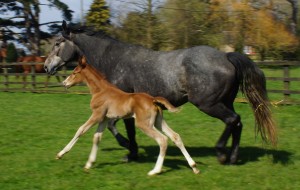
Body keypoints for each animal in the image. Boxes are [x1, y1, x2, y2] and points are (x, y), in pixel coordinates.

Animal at [58, 57, 199, 176]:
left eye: (74, 72)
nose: (64, 83)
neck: (101, 91)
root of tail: (153, 100)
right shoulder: (104, 118)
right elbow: (97, 137)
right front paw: (89, 164)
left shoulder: (97, 115)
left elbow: (81, 130)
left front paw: (61, 154)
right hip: (158, 122)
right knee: (175, 136)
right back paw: (194, 166)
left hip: (143, 124)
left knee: (162, 140)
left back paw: (155, 170)